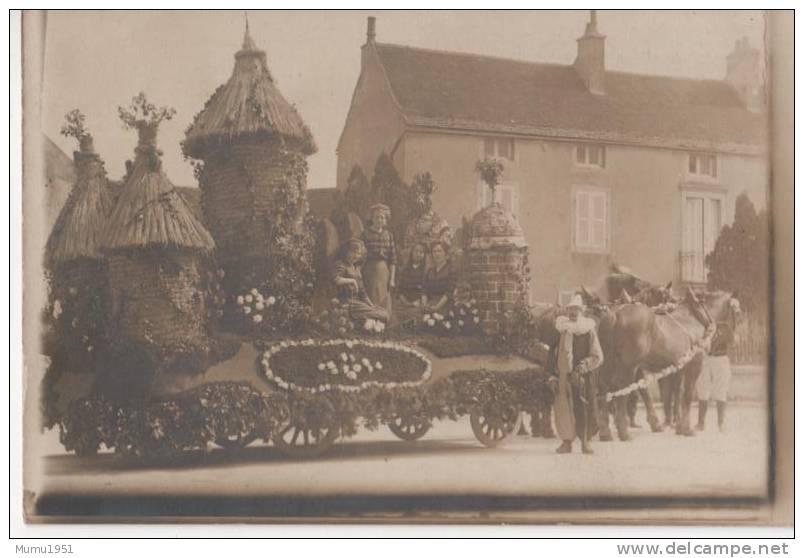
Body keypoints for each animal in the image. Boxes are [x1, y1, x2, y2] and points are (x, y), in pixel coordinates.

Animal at [596, 290, 740, 444]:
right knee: (621, 390)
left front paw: (679, 426)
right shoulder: (694, 364)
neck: (695, 317)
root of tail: (616, 312)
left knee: (604, 389)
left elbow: (677, 395)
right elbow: (687, 395)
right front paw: (687, 429)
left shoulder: (679, 367)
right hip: (628, 366)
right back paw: (624, 432)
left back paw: (605, 432)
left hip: (609, 364)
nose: (735, 341)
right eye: (738, 313)